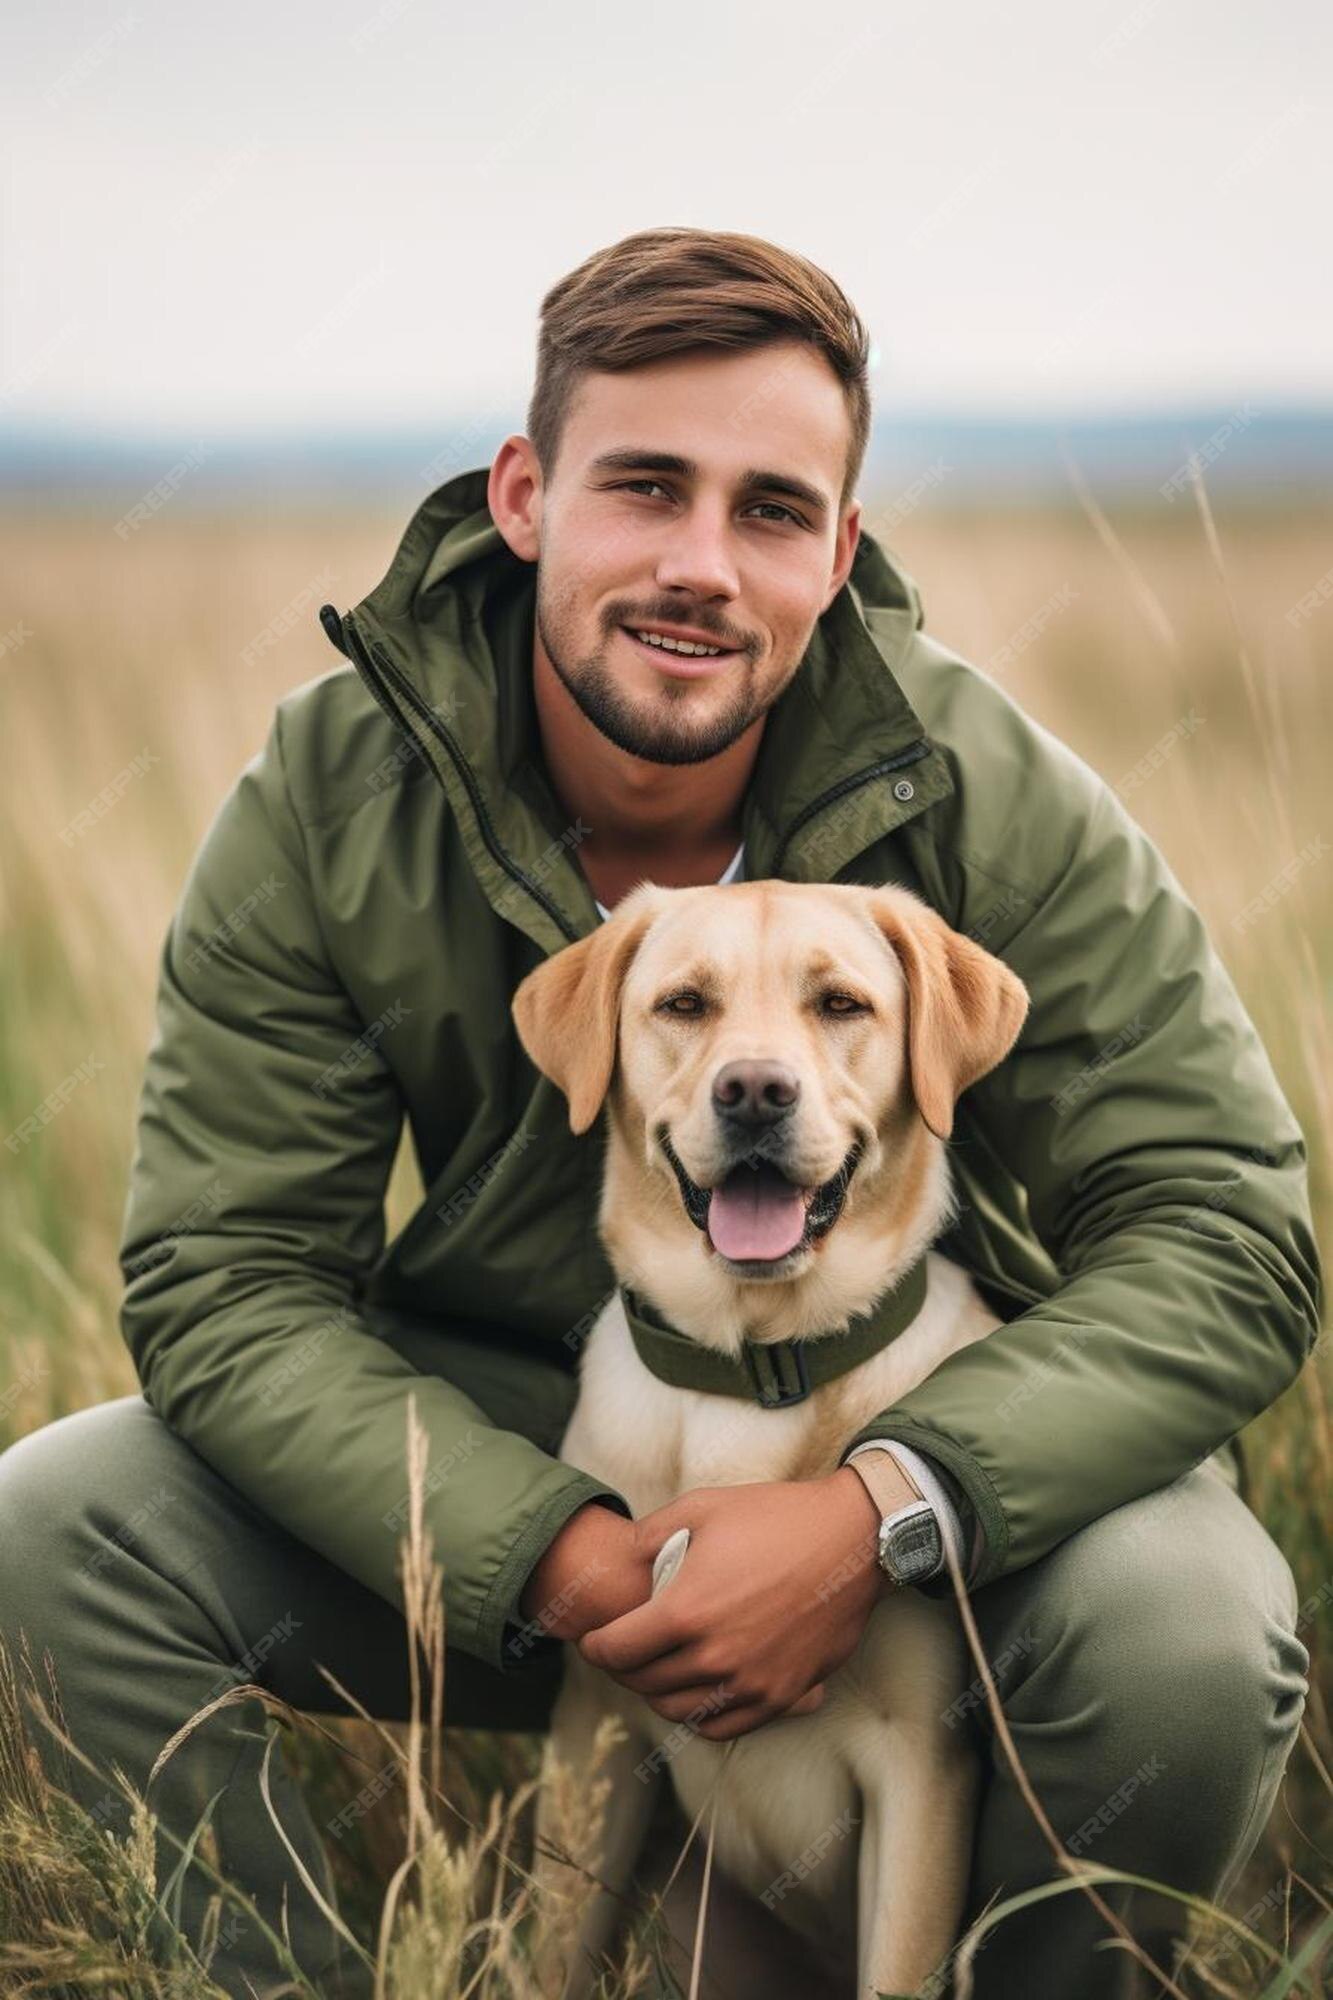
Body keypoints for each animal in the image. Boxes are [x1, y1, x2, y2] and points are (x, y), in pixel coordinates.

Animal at [508, 880, 1024, 2000]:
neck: (753, 1368)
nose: (752, 1091)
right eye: (683, 1004)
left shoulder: (921, 1765)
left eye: (839, 1003)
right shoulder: (592, 1731)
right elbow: (552, 1949)